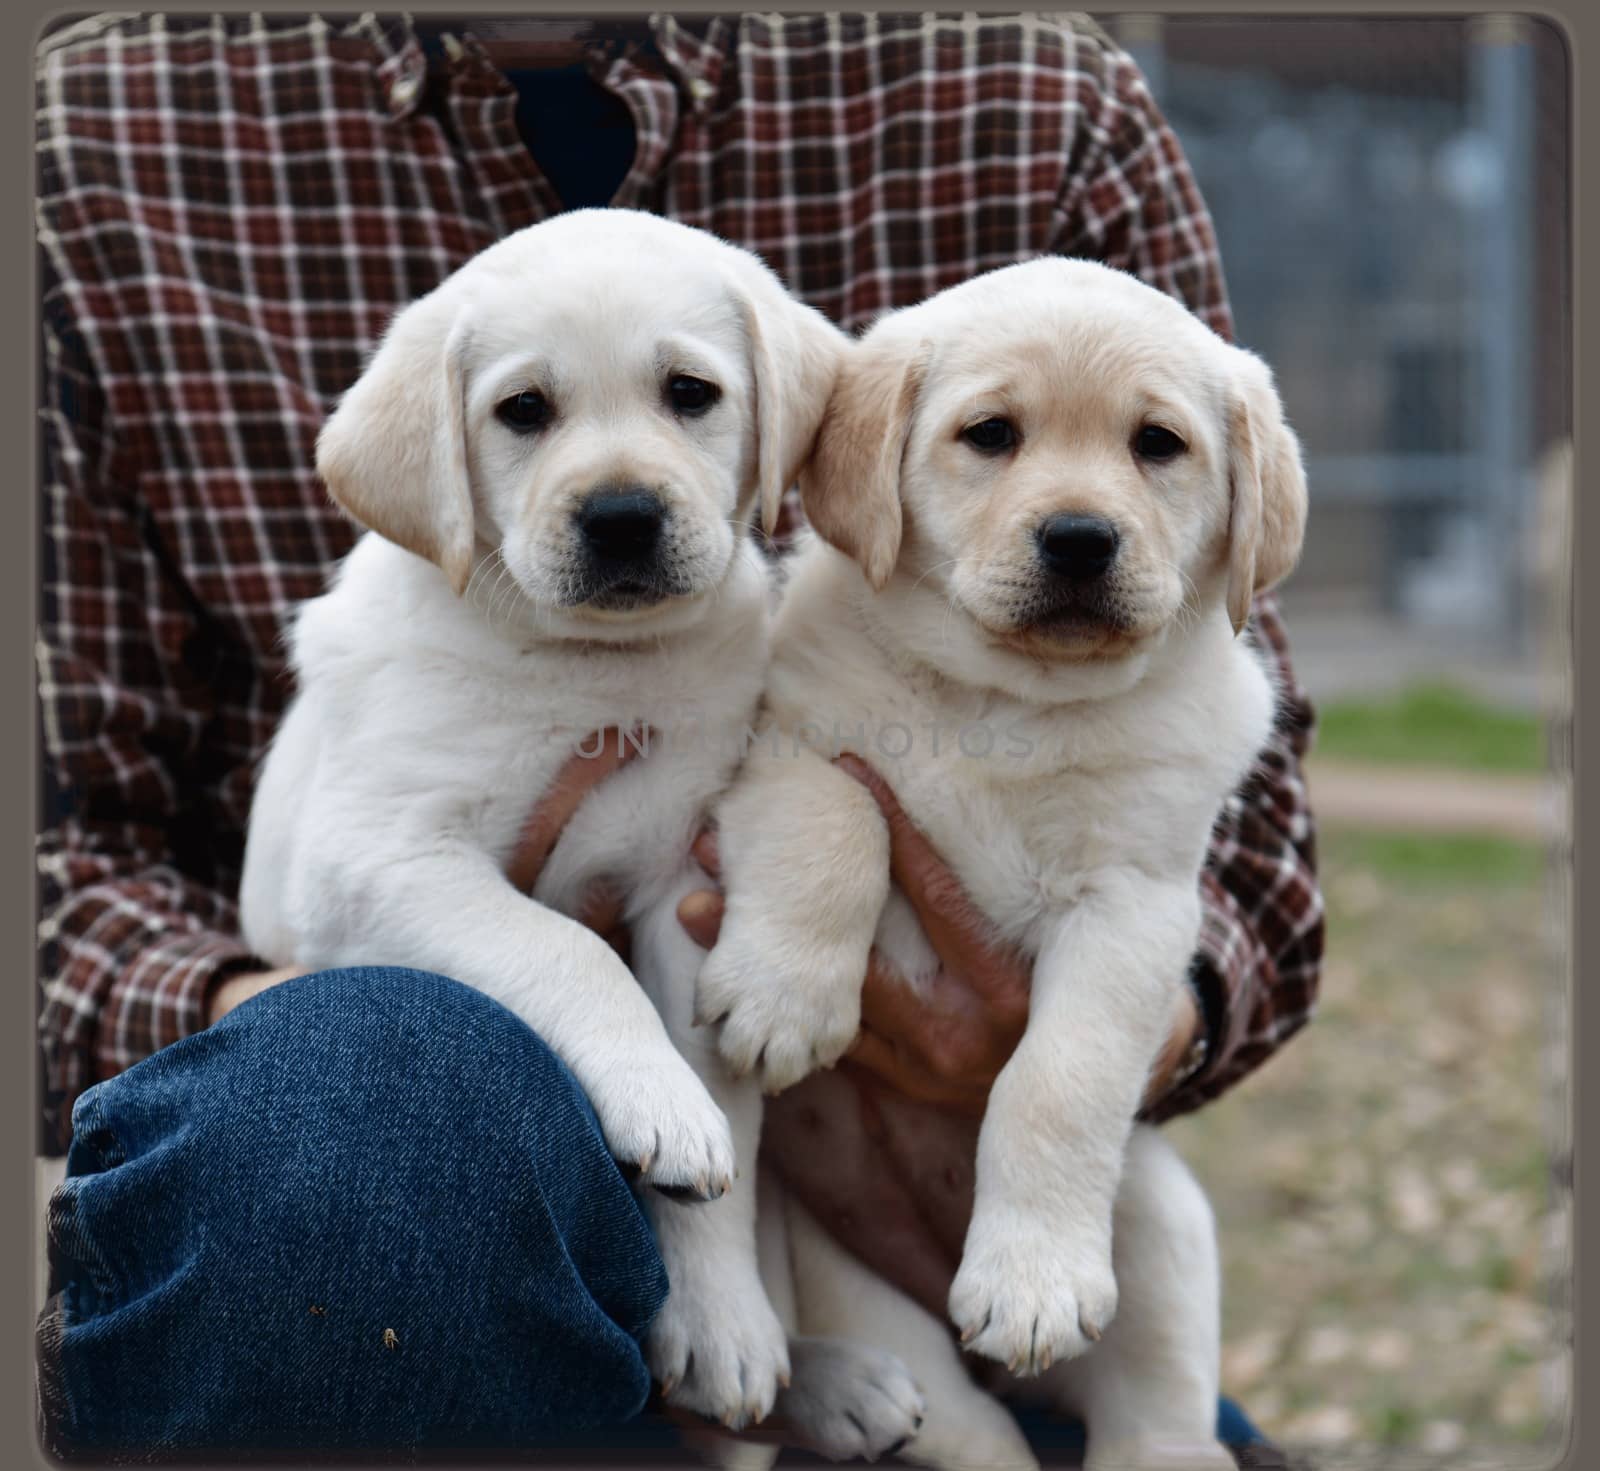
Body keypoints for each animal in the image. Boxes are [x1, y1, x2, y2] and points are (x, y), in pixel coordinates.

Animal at [707, 259, 1305, 1466]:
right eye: (990, 435)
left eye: (1157, 444)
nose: (1079, 538)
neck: (1013, 703)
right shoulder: (790, 750)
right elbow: (838, 826)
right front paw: (785, 998)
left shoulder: (1134, 906)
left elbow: (1056, 1079)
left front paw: (1031, 1281)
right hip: (866, 1299)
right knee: (967, 1426)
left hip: (1158, 1225)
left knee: (1156, 1410)